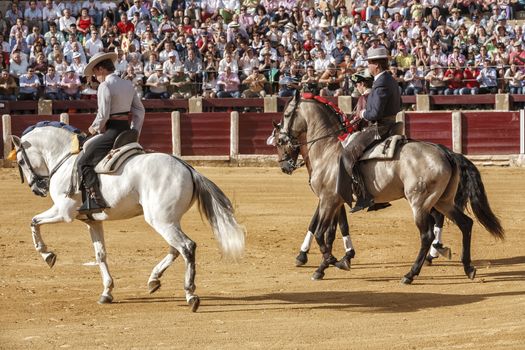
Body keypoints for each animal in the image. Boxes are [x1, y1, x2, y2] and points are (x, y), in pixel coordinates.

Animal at [10, 126, 244, 312]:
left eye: (20, 160)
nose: (37, 188)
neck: (65, 159)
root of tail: (187, 168)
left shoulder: (63, 211)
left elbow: (33, 221)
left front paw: (47, 255)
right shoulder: (93, 221)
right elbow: (100, 255)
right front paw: (106, 292)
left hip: (160, 220)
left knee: (187, 246)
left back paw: (190, 295)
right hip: (169, 219)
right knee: (175, 248)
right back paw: (153, 280)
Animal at [272, 91, 502, 284]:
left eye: (286, 114)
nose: (284, 165)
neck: (327, 148)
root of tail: (446, 153)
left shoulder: (328, 199)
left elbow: (321, 232)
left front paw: (330, 261)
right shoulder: (334, 201)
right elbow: (331, 232)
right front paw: (331, 262)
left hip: (421, 202)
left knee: (427, 234)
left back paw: (411, 273)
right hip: (443, 200)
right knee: (465, 224)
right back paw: (467, 267)